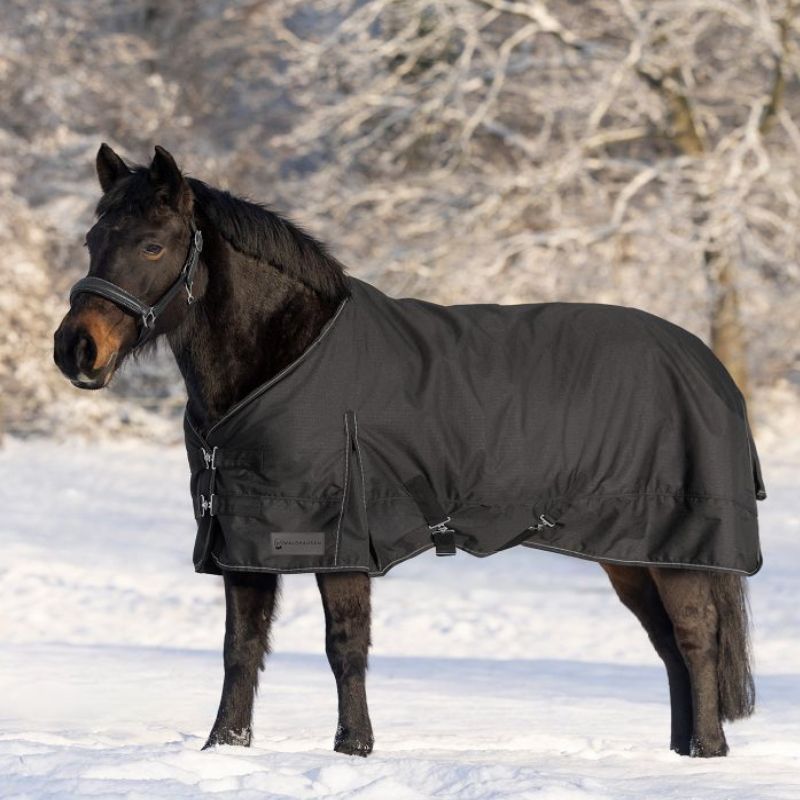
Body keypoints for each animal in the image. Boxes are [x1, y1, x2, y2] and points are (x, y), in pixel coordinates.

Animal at [54, 144, 756, 758]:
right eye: (93, 241)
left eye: (153, 244)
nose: (76, 350)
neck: (286, 359)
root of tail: (708, 366)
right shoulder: (243, 538)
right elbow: (240, 649)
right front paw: (223, 748)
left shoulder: (336, 537)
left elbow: (345, 646)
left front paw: (354, 748)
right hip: (631, 554)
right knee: (667, 643)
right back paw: (681, 752)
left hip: (675, 548)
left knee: (695, 637)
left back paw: (705, 753)